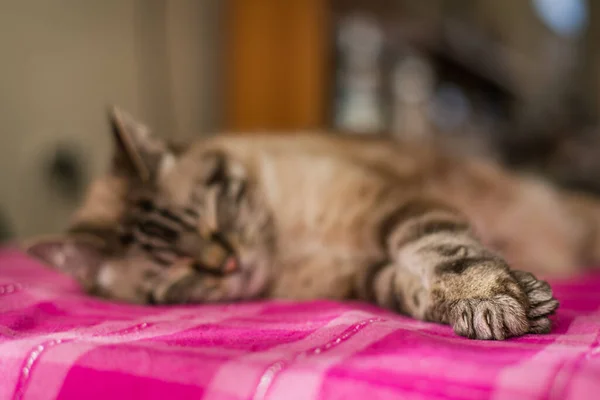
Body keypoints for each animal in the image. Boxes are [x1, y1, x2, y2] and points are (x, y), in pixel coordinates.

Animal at [28, 107, 600, 340]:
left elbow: (443, 252)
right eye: (178, 270)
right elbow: (414, 290)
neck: (289, 249)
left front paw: (486, 297)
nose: (231, 264)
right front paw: (498, 304)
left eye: (215, 218)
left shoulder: (393, 205)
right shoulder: (363, 276)